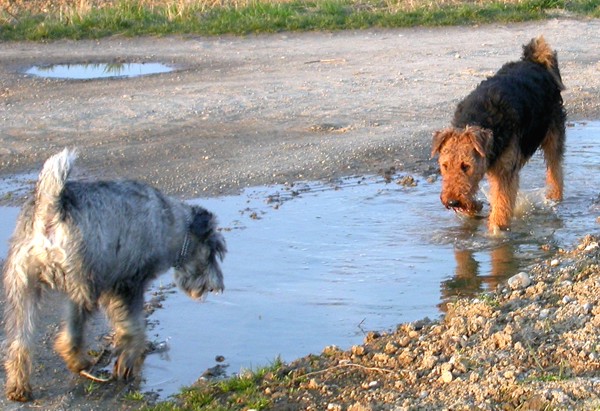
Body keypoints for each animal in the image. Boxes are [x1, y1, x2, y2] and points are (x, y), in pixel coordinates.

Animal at [2, 149, 225, 402]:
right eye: (214, 251)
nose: (217, 286)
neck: (169, 223)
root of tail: (51, 207)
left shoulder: (112, 287)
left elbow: (124, 325)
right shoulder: (128, 286)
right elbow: (134, 327)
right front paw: (128, 360)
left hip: (24, 289)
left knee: (20, 341)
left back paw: (19, 387)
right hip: (84, 286)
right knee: (72, 334)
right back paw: (78, 361)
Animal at [434, 37, 564, 233]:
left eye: (466, 166)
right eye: (445, 165)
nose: (452, 202)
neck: (480, 117)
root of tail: (535, 61)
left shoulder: (504, 172)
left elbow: (501, 204)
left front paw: (496, 230)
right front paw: (475, 207)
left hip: (553, 135)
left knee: (556, 170)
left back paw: (555, 197)